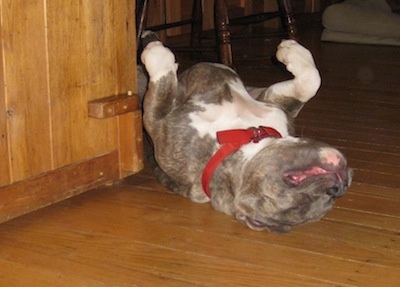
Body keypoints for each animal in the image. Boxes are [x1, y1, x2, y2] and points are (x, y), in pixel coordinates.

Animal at [139, 31, 352, 234]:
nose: (338, 187)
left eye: (300, 205)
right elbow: (311, 81)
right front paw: (292, 50)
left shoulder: (159, 125)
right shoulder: (273, 101)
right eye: (333, 195)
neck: (245, 135)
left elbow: (160, 92)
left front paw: (156, 53)